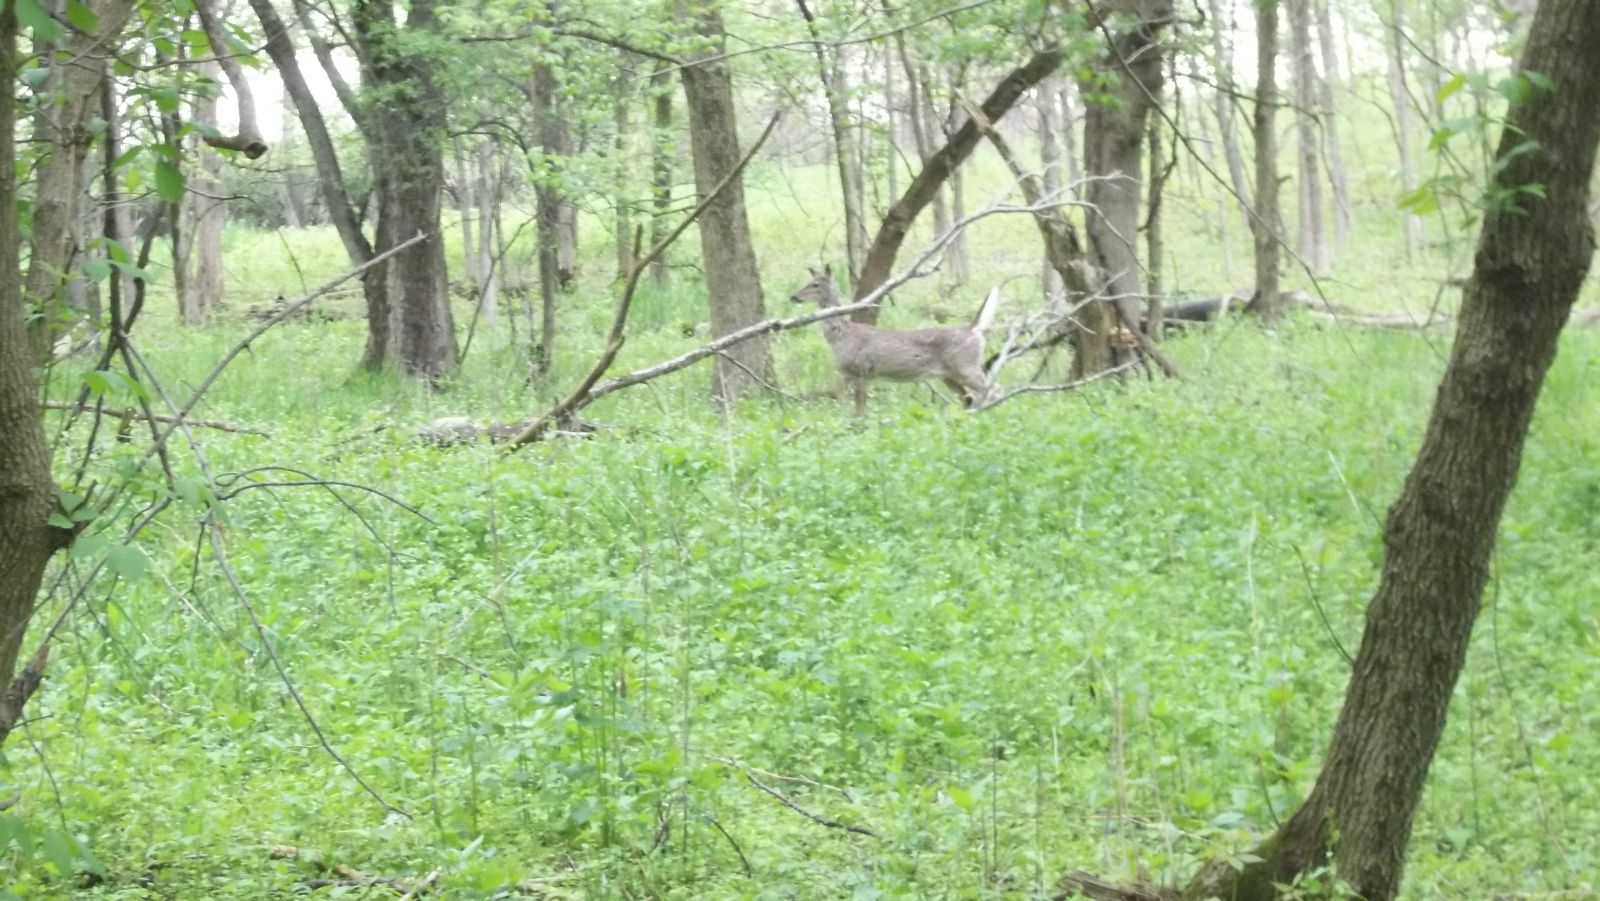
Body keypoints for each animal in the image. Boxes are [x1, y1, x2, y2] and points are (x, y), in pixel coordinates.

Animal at [790, 262, 998, 412]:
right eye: (808, 282)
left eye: (815, 285)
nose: (794, 297)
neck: (840, 335)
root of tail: (973, 329)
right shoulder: (848, 372)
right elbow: (846, 399)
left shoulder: (860, 368)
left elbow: (857, 405)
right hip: (949, 375)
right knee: (970, 397)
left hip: (965, 366)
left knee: (993, 389)